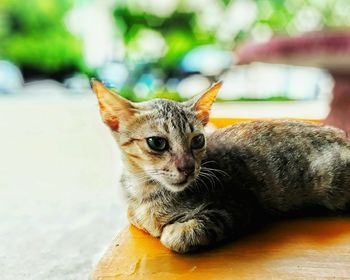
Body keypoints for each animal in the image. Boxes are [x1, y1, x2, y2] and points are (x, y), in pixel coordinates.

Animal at [90, 79, 350, 254]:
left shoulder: (240, 205)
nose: (187, 167)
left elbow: (184, 232)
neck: (148, 192)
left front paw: (176, 231)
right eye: (157, 142)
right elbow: (134, 216)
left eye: (197, 140)